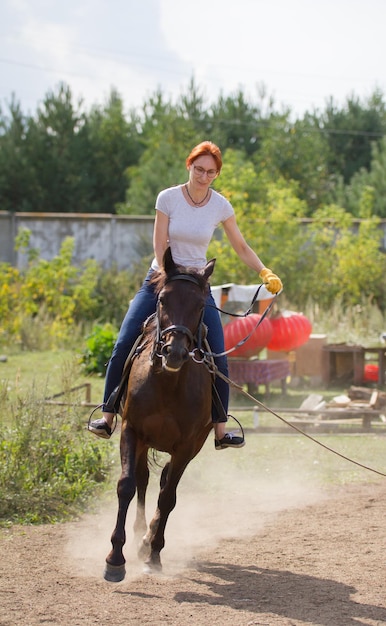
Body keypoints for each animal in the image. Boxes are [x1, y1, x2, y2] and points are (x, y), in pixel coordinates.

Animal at [104, 245, 216, 580]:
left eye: (200, 304)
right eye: (163, 299)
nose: (174, 352)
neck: (168, 382)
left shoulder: (187, 446)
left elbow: (168, 497)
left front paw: (153, 553)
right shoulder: (131, 431)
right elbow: (126, 485)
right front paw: (115, 558)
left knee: (166, 484)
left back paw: (148, 539)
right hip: (143, 442)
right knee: (142, 479)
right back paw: (139, 534)